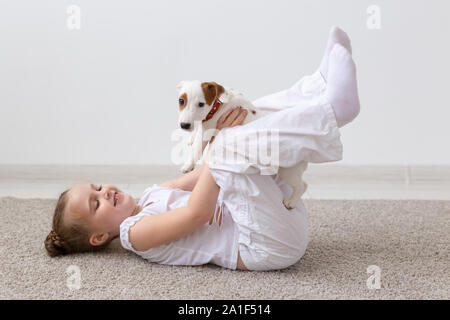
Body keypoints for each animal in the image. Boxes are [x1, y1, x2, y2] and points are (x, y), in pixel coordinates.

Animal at [176, 80, 310, 210]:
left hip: (288, 172)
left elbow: (196, 150)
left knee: (303, 185)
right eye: (181, 101)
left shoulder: (207, 133)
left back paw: (291, 202)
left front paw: (188, 165)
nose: (184, 125)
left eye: (201, 104)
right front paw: (191, 137)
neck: (217, 106)